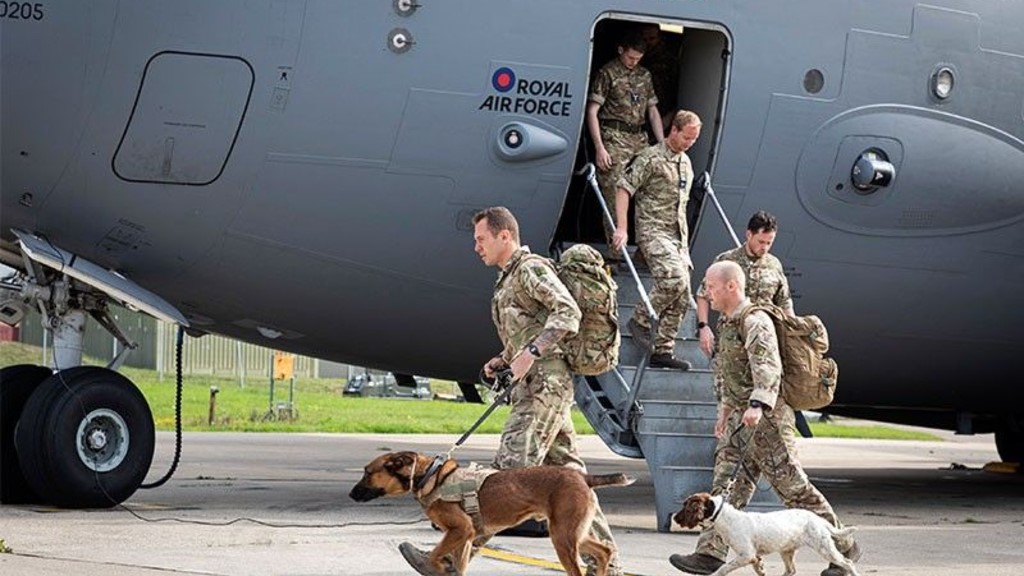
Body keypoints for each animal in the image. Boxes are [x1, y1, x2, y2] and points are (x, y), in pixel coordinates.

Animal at [356, 450, 634, 573]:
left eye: (368, 473)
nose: (351, 494)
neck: (430, 477)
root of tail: (583, 477)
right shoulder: (465, 538)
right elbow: (458, 566)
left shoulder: (460, 531)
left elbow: (436, 555)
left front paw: (437, 567)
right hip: (572, 532)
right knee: (604, 550)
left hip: (562, 536)